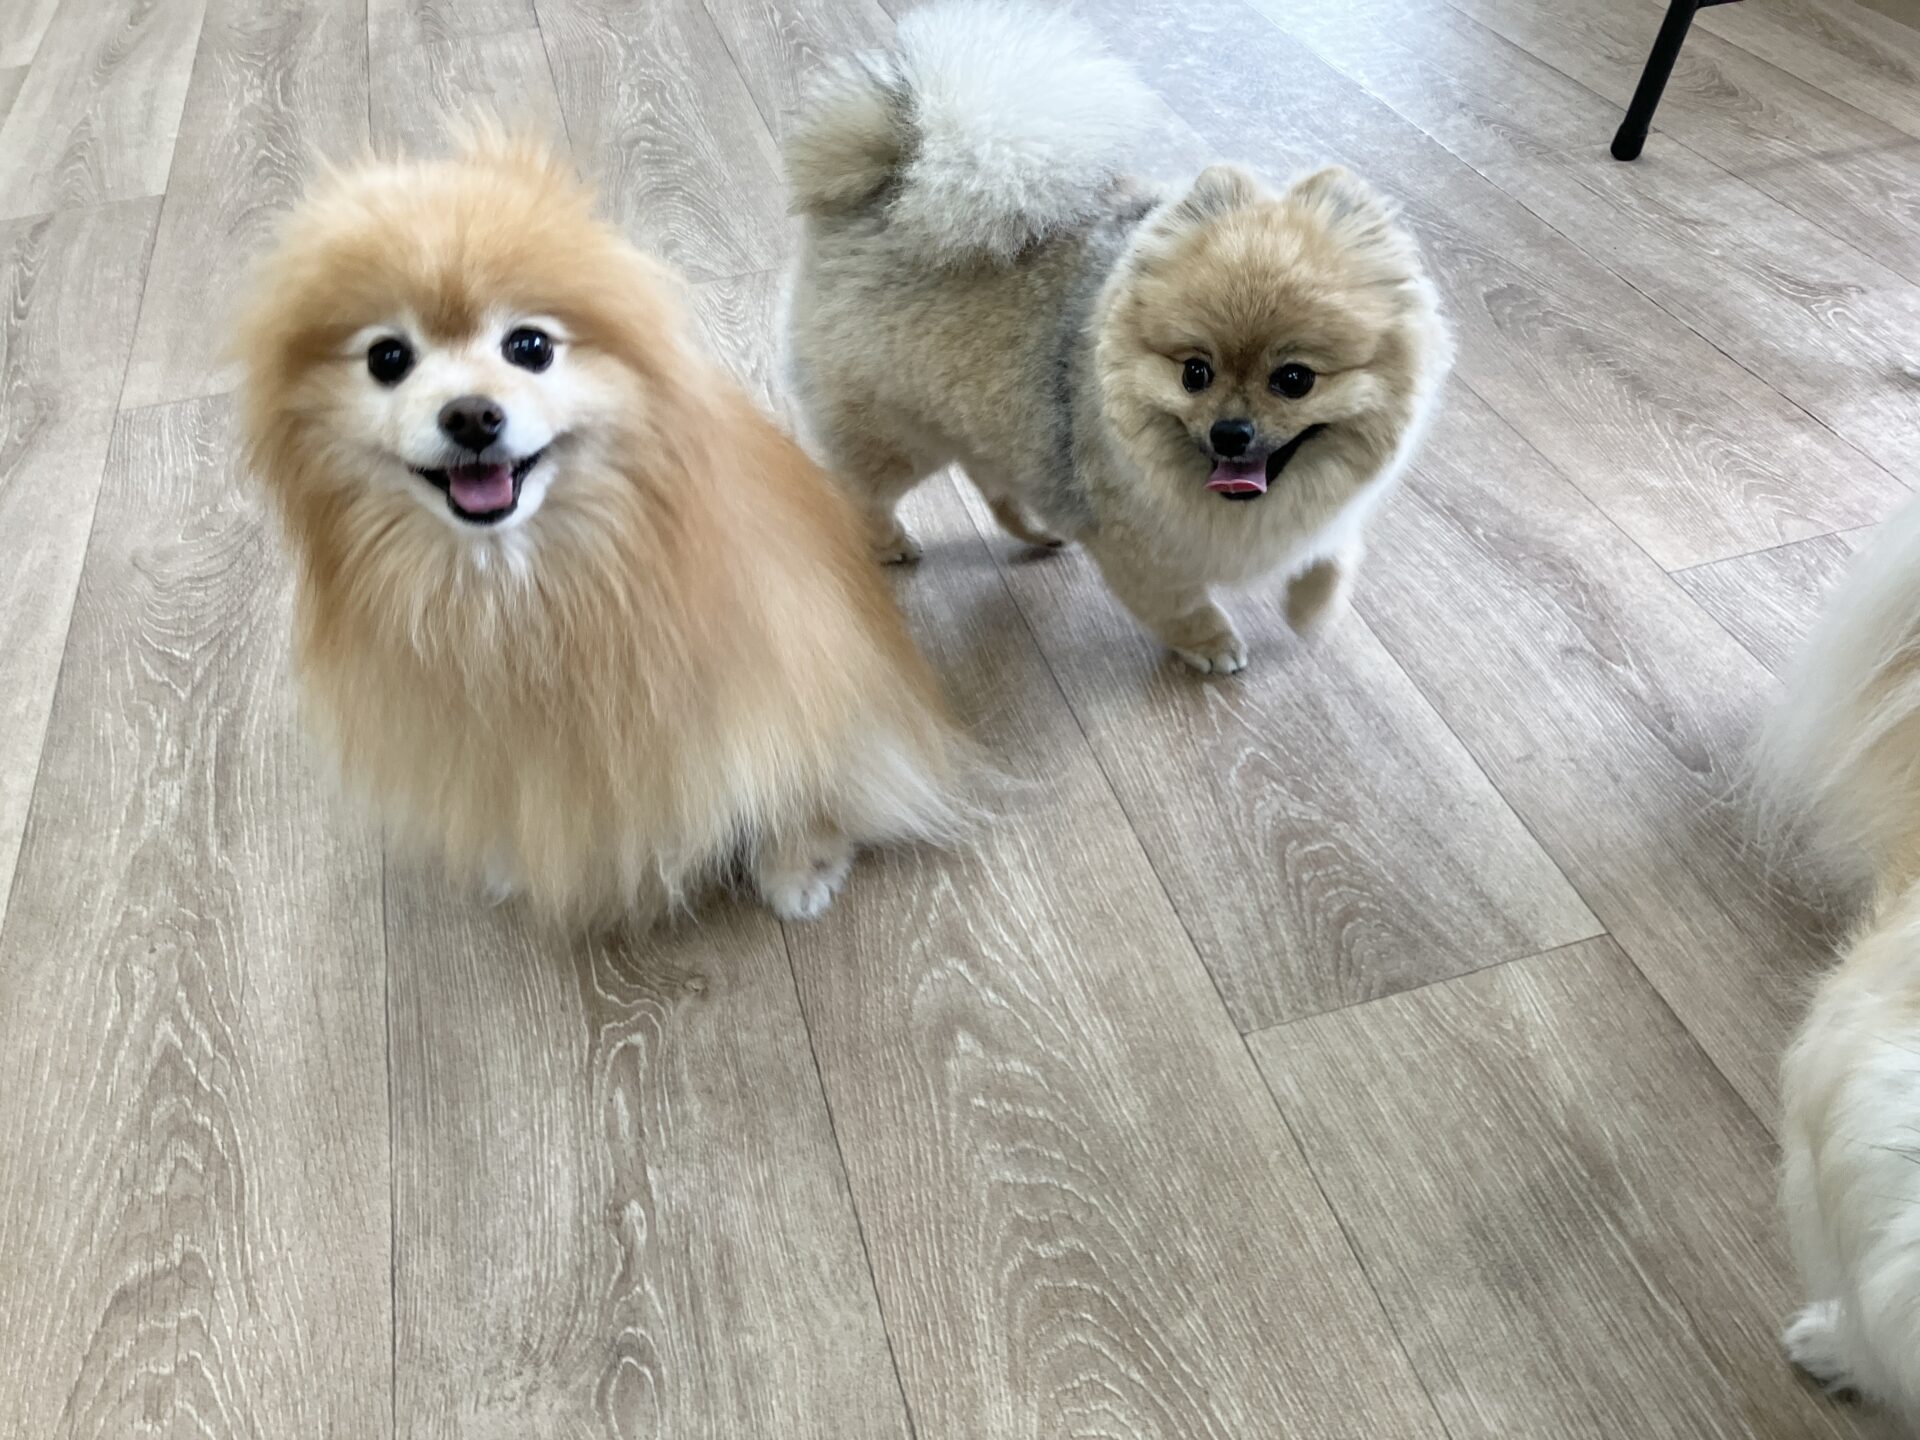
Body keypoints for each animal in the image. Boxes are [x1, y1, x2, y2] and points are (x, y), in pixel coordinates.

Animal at [236, 136, 972, 925]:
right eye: (387, 358)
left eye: (530, 346)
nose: (472, 414)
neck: (526, 584)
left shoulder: (789, 670)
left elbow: (798, 773)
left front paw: (801, 862)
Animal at [782, 1, 1451, 674]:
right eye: (1195, 373)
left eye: (1295, 380)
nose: (1230, 433)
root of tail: (895, 177)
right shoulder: (1134, 544)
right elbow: (1179, 602)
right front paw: (1211, 645)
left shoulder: (1328, 518)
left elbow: (1334, 559)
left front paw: (1313, 611)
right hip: (897, 434)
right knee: (859, 490)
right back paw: (888, 542)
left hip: (997, 422)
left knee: (992, 481)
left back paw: (1038, 530)